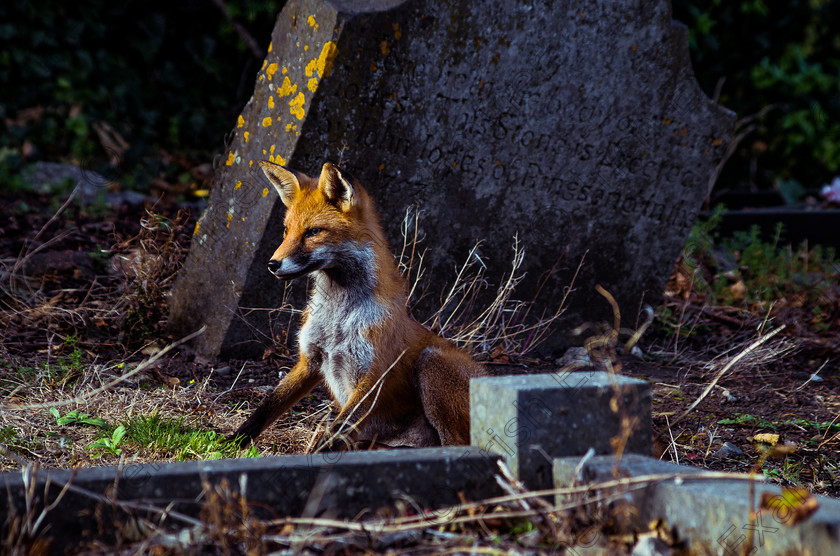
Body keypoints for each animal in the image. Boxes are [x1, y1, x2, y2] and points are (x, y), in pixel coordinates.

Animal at [233, 163, 488, 450]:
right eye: (287, 231)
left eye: (313, 232)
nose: (272, 264)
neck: (337, 318)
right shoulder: (310, 360)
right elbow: (266, 408)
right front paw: (232, 442)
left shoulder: (371, 375)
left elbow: (336, 430)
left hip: (431, 363)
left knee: (457, 444)